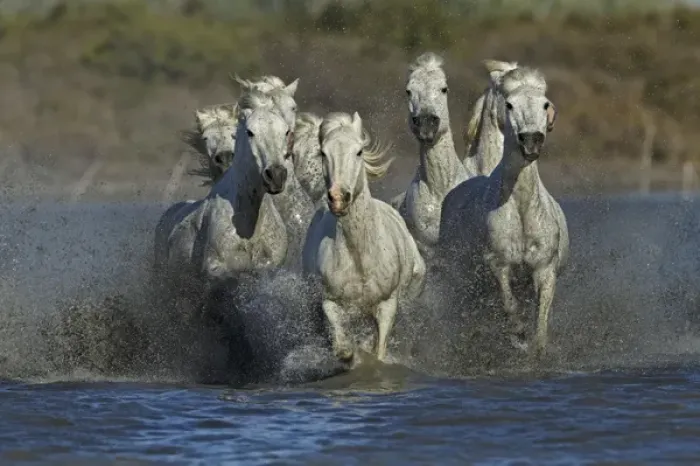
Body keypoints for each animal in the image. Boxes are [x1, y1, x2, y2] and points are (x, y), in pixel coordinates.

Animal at [302, 112, 426, 364]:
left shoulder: (388, 305)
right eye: (323, 153)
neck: (360, 257)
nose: (339, 198)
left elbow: (379, 351)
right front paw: (348, 353)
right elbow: (341, 343)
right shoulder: (330, 302)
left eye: (359, 151)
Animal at [438, 65, 568, 358]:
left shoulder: (544, 269)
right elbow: (509, 304)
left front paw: (535, 347)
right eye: (509, 104)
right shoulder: (497, 264)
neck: (521, 210)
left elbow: (541, 323)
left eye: (545, 104)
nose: (531, 141)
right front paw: (518, 331)